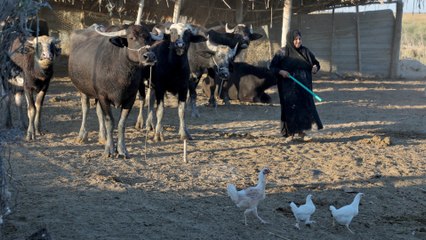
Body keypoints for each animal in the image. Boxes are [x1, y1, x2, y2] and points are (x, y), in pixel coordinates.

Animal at [68, 23, 158, 158]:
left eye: (148, 38)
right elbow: (110, 121)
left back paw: (103, 137)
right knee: (86, 109)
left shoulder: (130, 98)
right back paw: (82, 135)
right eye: (131, 38)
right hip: (82, 90)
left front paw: (121, 149)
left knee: (98, 112)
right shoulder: (103, 96)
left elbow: (121, 123)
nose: (150, 56)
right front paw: (109, 149)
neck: (121, 73)